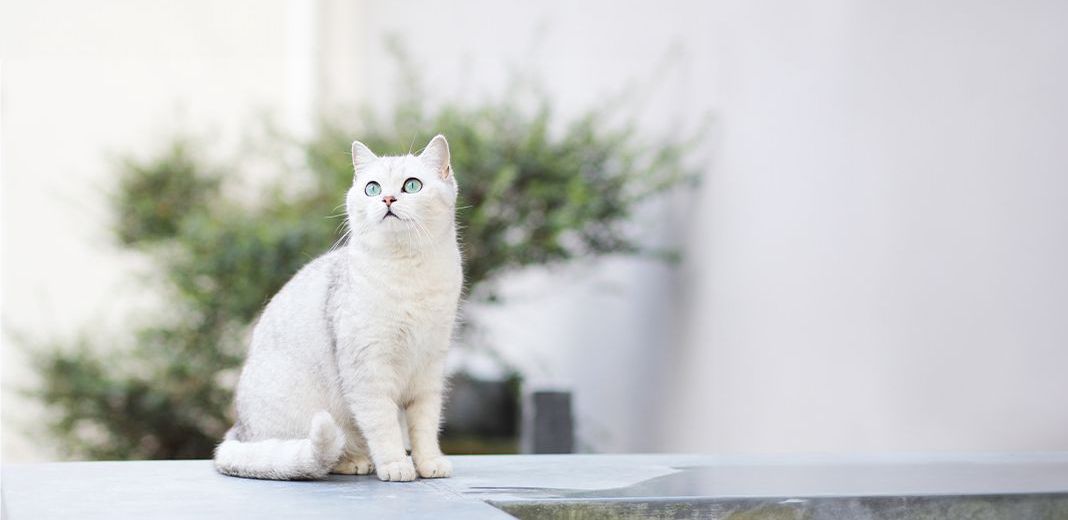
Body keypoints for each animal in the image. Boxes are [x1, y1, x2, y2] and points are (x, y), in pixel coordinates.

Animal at [215, 135, 463, 484]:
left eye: (412, 185)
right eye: (372, 188)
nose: (387, 198)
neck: (408, 274)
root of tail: (240, 429)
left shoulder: (429, 369)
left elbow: (425, 426)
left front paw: (429, 463)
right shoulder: (368, 372)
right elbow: (384, 426)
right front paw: (396, 465)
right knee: (323, 455)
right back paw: (354, 461)